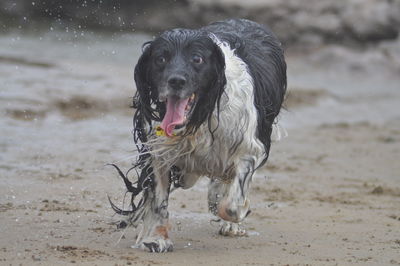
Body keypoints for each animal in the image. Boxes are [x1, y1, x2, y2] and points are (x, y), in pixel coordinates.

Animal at [111, 18, 286, 251]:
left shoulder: (249, 148)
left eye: (197, 58)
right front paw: (156, 238)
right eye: (160, 58)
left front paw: (236, 212)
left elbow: (231, 205)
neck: (199, 118)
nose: (176, 81)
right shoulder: (159, 151)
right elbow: (158, 200)